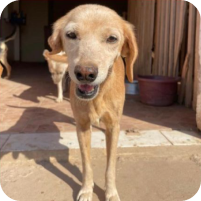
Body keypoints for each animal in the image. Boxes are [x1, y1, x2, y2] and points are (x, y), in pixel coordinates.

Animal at [48, 4, 138, 201]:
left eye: (112, 38)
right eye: (71, 34)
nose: (85, 73)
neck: (98, 96)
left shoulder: (113, 126)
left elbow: (110, 166)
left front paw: (111, 193)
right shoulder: (82, 126)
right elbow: (86, 164)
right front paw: (87, 190)